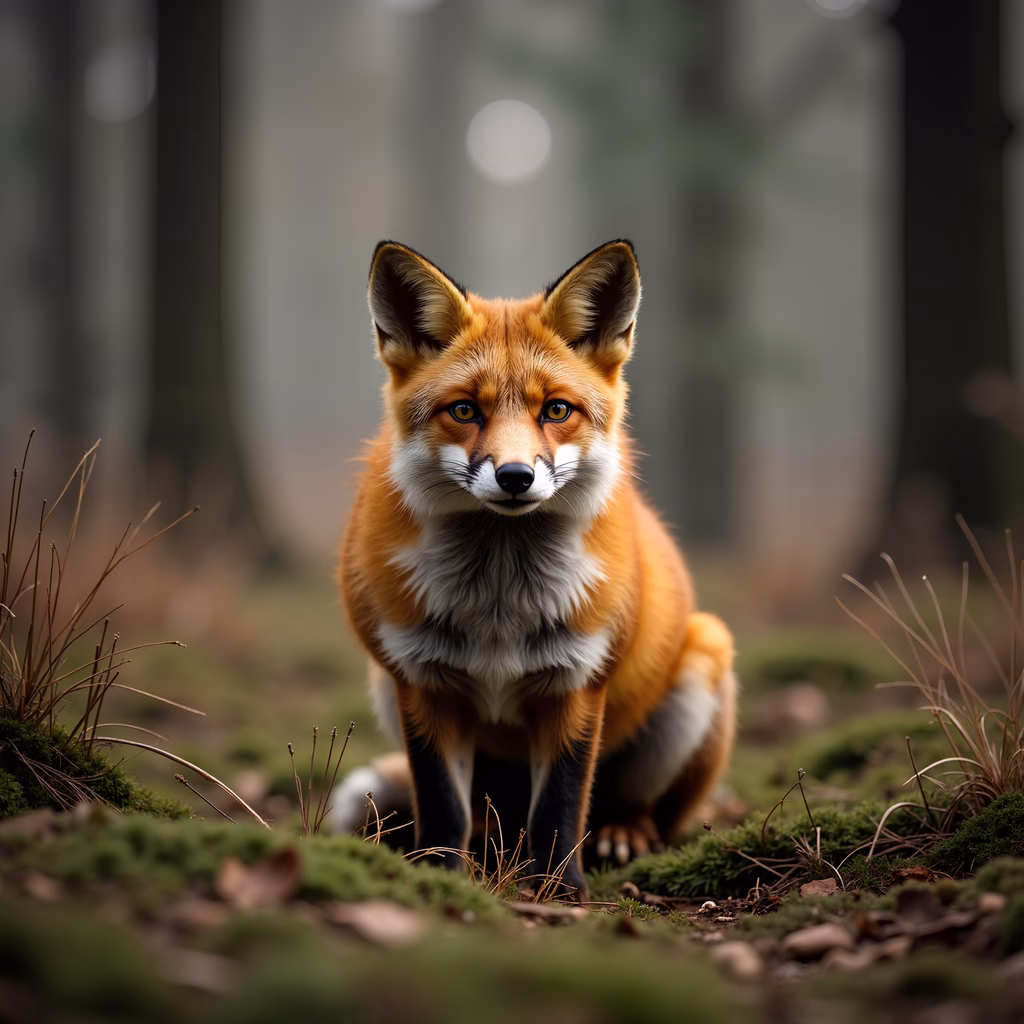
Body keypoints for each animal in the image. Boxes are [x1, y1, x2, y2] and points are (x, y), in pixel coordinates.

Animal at [332, 239, 737, 900]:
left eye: (556, 410)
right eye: (464, 410)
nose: (516, 476)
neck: (500, 602)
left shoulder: (576, 682)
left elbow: (560, 807)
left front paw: (560, 892)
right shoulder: (423, 682)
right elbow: (442, 805)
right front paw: (441, 875)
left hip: (702, 659)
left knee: (634, 809)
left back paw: (623, 834)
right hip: (387, 689)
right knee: (482, 814)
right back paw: (488, 846)